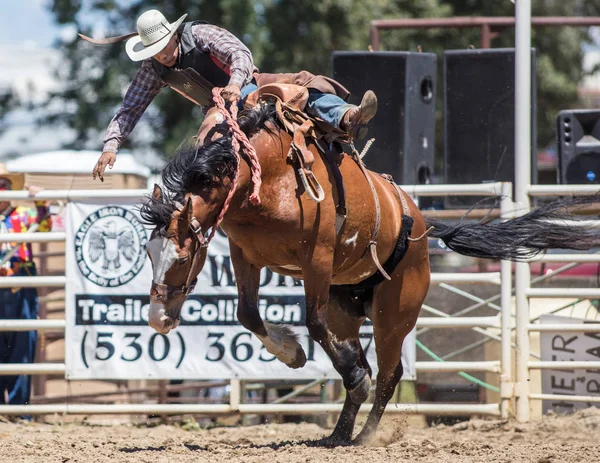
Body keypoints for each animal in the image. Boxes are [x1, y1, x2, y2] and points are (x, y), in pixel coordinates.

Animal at [139, 89, 600, 446]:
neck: (269, 175)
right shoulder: (244, 254)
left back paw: (362, 433)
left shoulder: (318, 257)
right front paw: (292, 353)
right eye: (147, 252)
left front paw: (321, 361)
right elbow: (249, 314)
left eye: (182, 257)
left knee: (389, 373)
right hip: (348, 307)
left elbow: (312, 322)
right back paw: (340, 431)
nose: (159, 319)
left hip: (393, 316)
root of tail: (424, 227)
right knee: (358, 355)